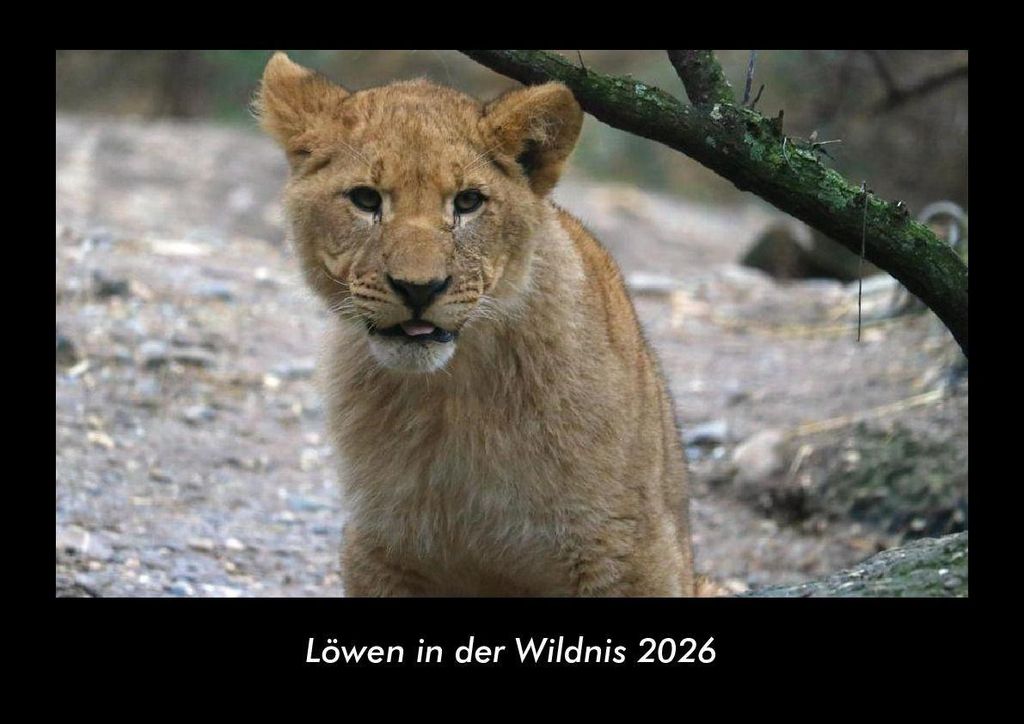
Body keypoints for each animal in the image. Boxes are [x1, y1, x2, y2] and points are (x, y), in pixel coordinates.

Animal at [256, 52, 698, 596]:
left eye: (468, 203)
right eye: (365, 199)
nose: (418, 288)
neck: (453, 397)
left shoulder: (627, 552)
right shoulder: (380, 550)